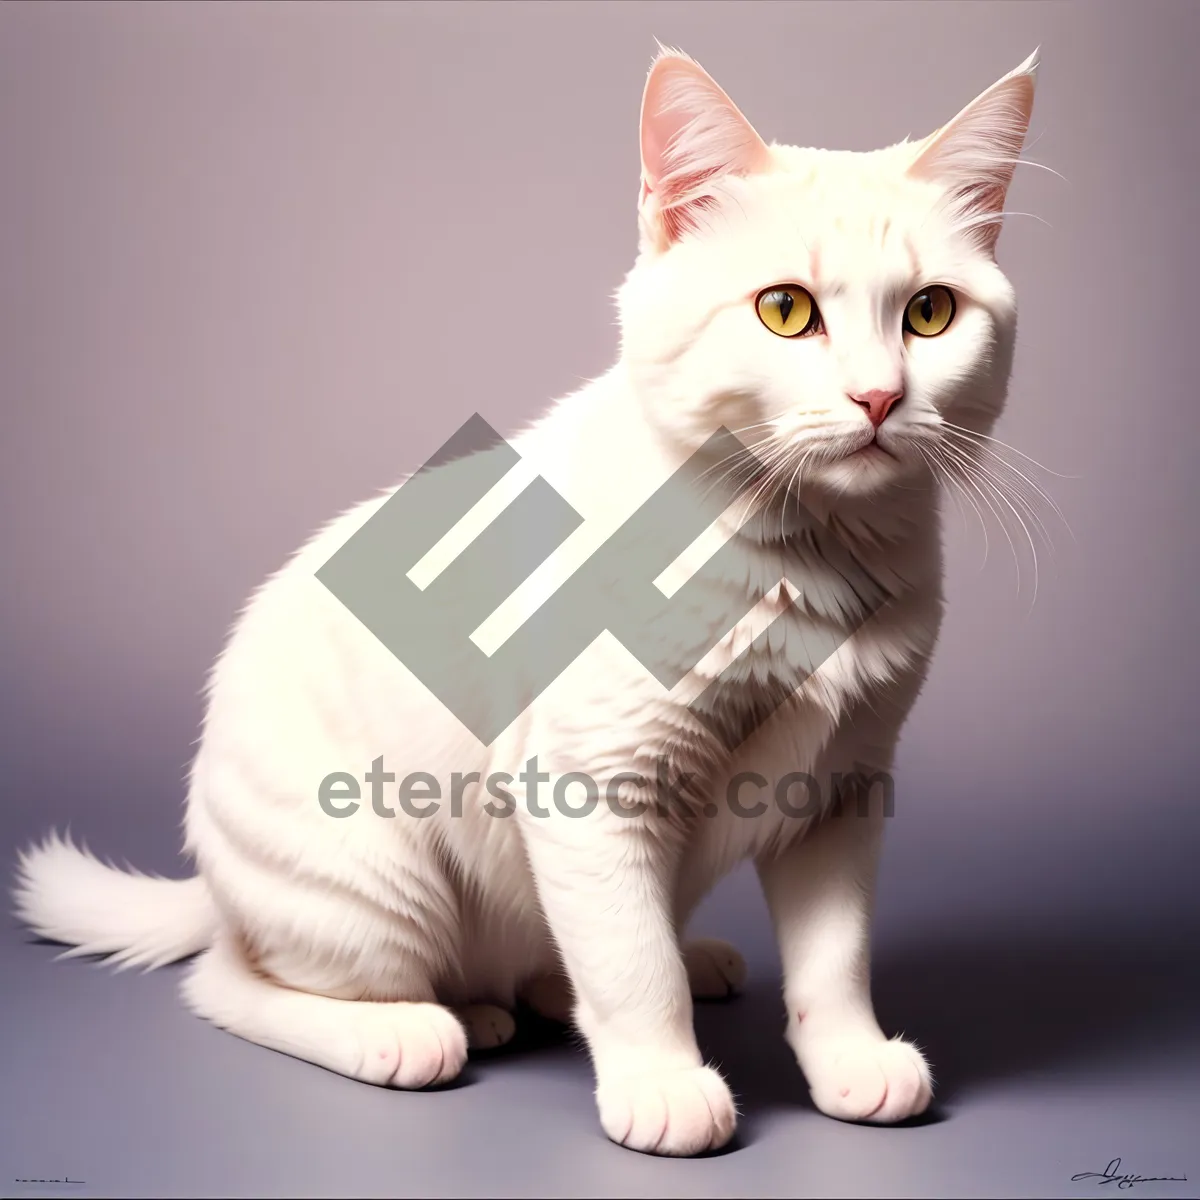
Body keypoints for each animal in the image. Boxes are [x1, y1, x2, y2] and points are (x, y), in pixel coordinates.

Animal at [11, 44, 1041, 1152]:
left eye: (929, 313)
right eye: (786, 311)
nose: (880, 397)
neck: (806, 556)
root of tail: (213, 885)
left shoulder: (840, 793)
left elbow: (833, 962)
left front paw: (849, 1062)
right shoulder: (593, 785)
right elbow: (633, 970)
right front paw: (664, 1085)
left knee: (551, 967)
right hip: (375, 884)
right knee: (232, 984)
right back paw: (413, 1030)